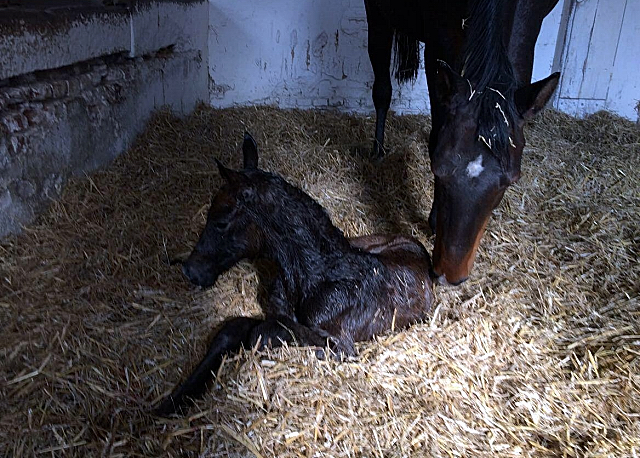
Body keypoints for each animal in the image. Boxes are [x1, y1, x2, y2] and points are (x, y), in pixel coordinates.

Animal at [156, 133, 436, 416]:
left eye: (222, 222)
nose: (191, 271)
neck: (316, 275)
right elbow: (238, 327)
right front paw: (175, 399)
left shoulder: (340, 346)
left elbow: (264, 332)